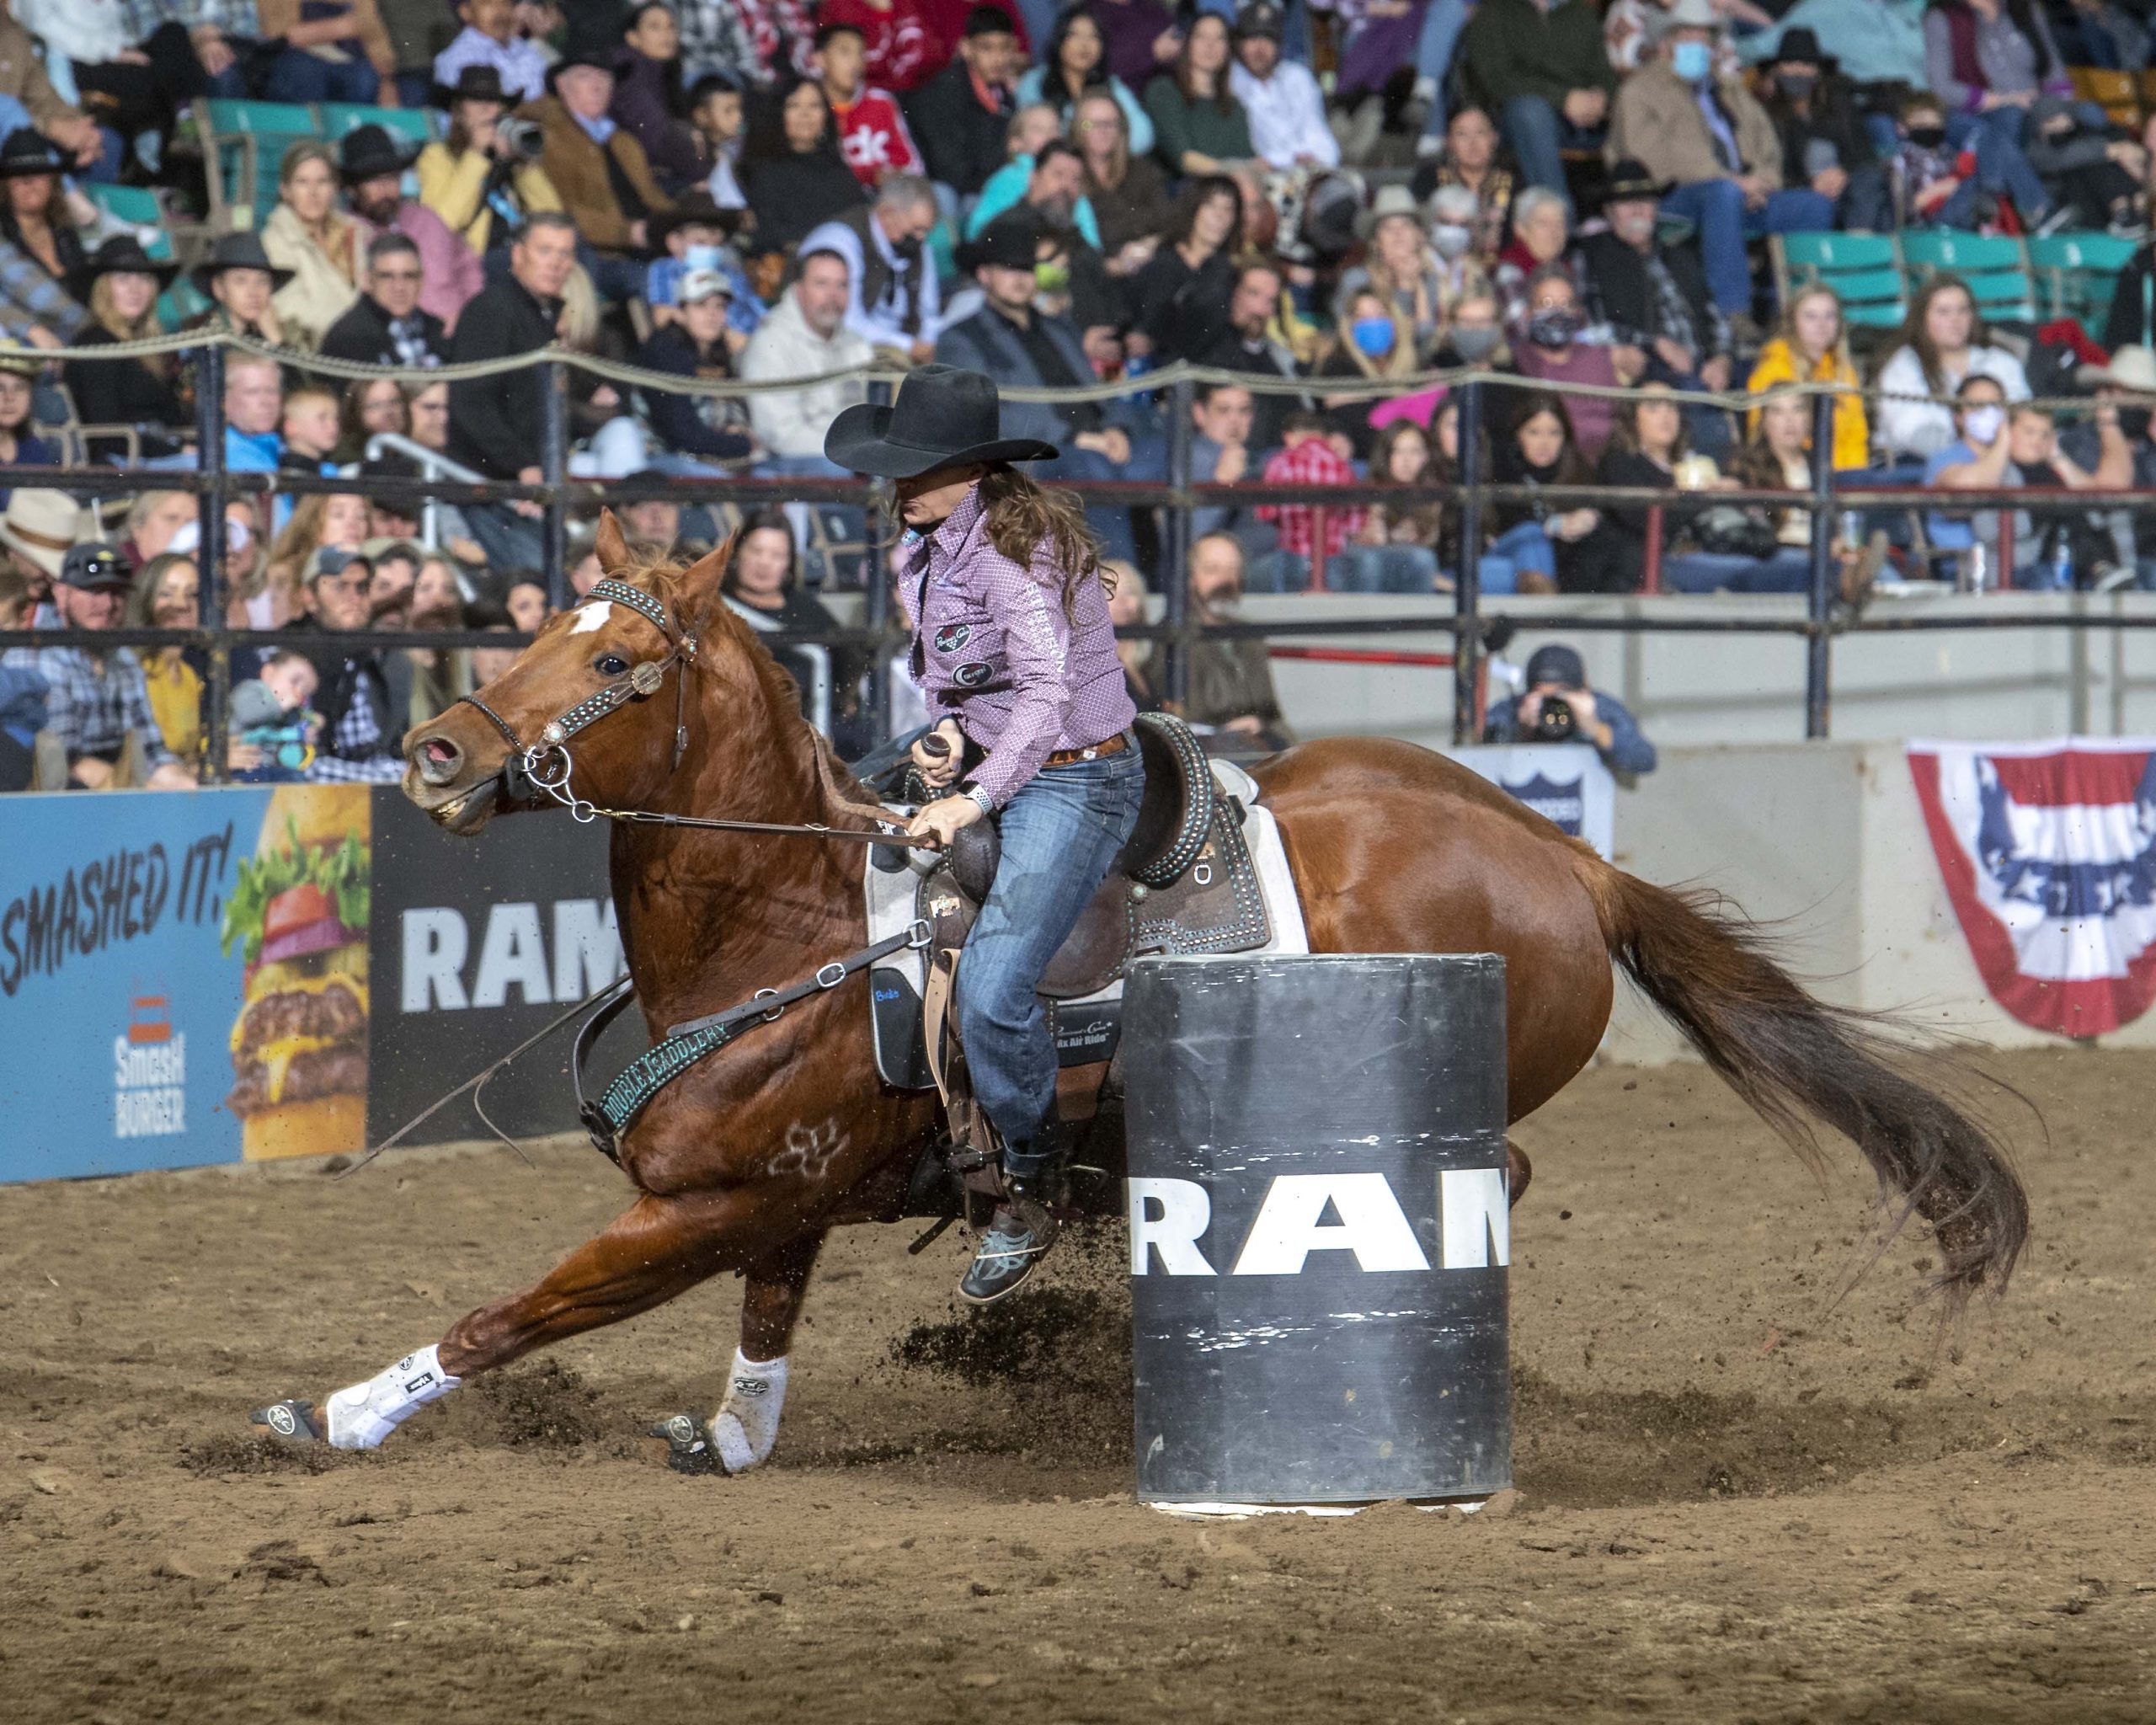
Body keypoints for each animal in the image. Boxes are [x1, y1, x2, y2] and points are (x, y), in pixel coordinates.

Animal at [339, 514, 2025, 1470]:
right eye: (537, 625)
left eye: (612, 662)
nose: (432, 749)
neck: (787, 921)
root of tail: (1562, 853)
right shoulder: (773, 1198)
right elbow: (761, 1321)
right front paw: (735, 1437)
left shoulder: (711, 1199)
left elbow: (523, 1307)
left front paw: (343, 1413)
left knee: (1494, 1167)